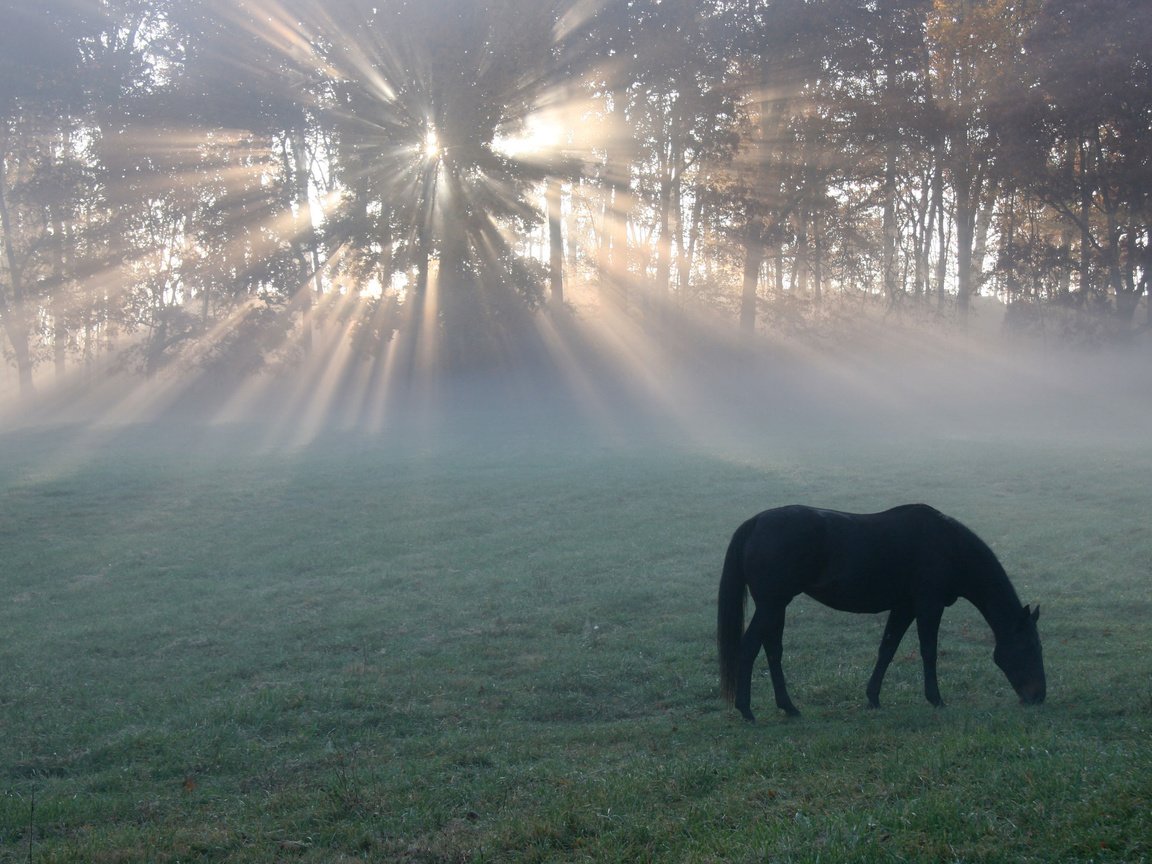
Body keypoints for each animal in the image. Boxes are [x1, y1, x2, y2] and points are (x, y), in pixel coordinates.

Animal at [714, 504, 1050, 718]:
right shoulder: (928, 605)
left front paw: (873, 697)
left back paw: (788, 707)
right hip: (771, 605)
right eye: (1030, 647)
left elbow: (887, 649)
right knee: (749, 648)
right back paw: (747, 710)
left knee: (772, 651)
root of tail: (756, 522)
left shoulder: (904, 607)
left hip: (775, 606)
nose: (1039, 697)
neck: (947, 545)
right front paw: (936, 699)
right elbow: (929, 651)